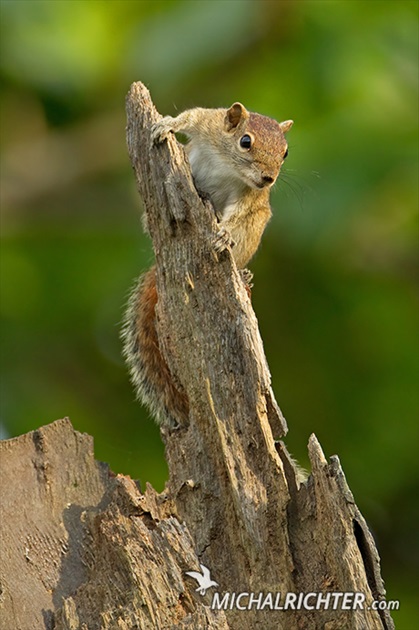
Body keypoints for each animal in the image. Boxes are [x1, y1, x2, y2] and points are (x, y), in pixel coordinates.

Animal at [120, 102, 292, 430]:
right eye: (245, 141)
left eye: (285, 152)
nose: (268, 179)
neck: (228, 164)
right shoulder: (208, 123)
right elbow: (192, 116)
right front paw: (165, 125)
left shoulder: (249, 197)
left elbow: (238, 216)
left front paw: (223, 234)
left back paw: (243, 271)